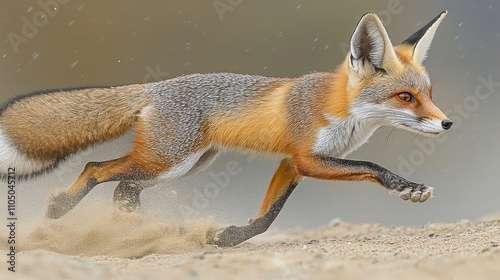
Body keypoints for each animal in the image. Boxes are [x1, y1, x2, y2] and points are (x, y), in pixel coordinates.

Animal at [0, 12, 452, 246]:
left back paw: (134, 230)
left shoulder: (292, 163)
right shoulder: (308, 157)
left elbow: (267, 218)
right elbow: (372, 166)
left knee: (122, 187)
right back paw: (62, 207)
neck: (340, 111)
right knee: (95, 168)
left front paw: (229, 238)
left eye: (428, 93)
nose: (447, 122)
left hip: (182, 166)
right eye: (405, 97)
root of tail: (154, 87)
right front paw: (407, 187)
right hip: (166, 162)